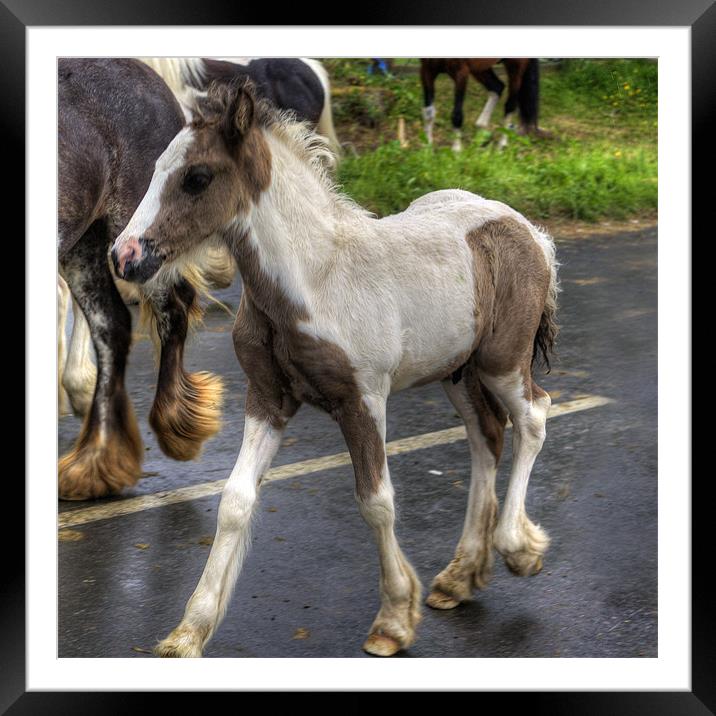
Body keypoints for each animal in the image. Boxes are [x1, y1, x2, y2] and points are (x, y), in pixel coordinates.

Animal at [58, 58, 224, 500]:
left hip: (135, 237)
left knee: (173, 309)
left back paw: (175, 427)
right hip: (84, 242)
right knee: (111, 325)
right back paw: (95, 462)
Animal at [112, 79, 560, 660]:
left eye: (197, 177)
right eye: (155, 170)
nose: (123, 256)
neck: (315, 278)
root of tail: (529, 229)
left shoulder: (362, 400)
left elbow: (377, 502)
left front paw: (393, 620)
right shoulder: (267, 398)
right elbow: (234, 500)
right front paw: (188, 631)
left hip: (502, 361)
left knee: (533, 417)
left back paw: (518, 547)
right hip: (455, 370)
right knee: (486, 434)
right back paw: (459, 577)